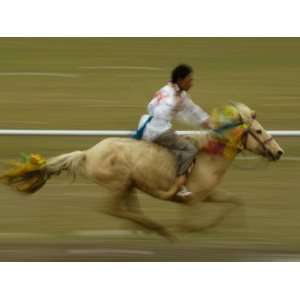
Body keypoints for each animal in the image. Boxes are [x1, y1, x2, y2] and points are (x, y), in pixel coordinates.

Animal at [0, 102, 284, 240]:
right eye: (259, 131)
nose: (279, 151)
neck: (207, 156)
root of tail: (89, 153)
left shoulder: (207, 194)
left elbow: (235, 201)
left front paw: (234, 228)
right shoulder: (192, 200)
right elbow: (189, 226)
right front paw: (189, 232)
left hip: (129, 186)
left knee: (128, 210)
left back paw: (149, 229)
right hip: (118, 185)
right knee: (112, 209)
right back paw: (158, 229)